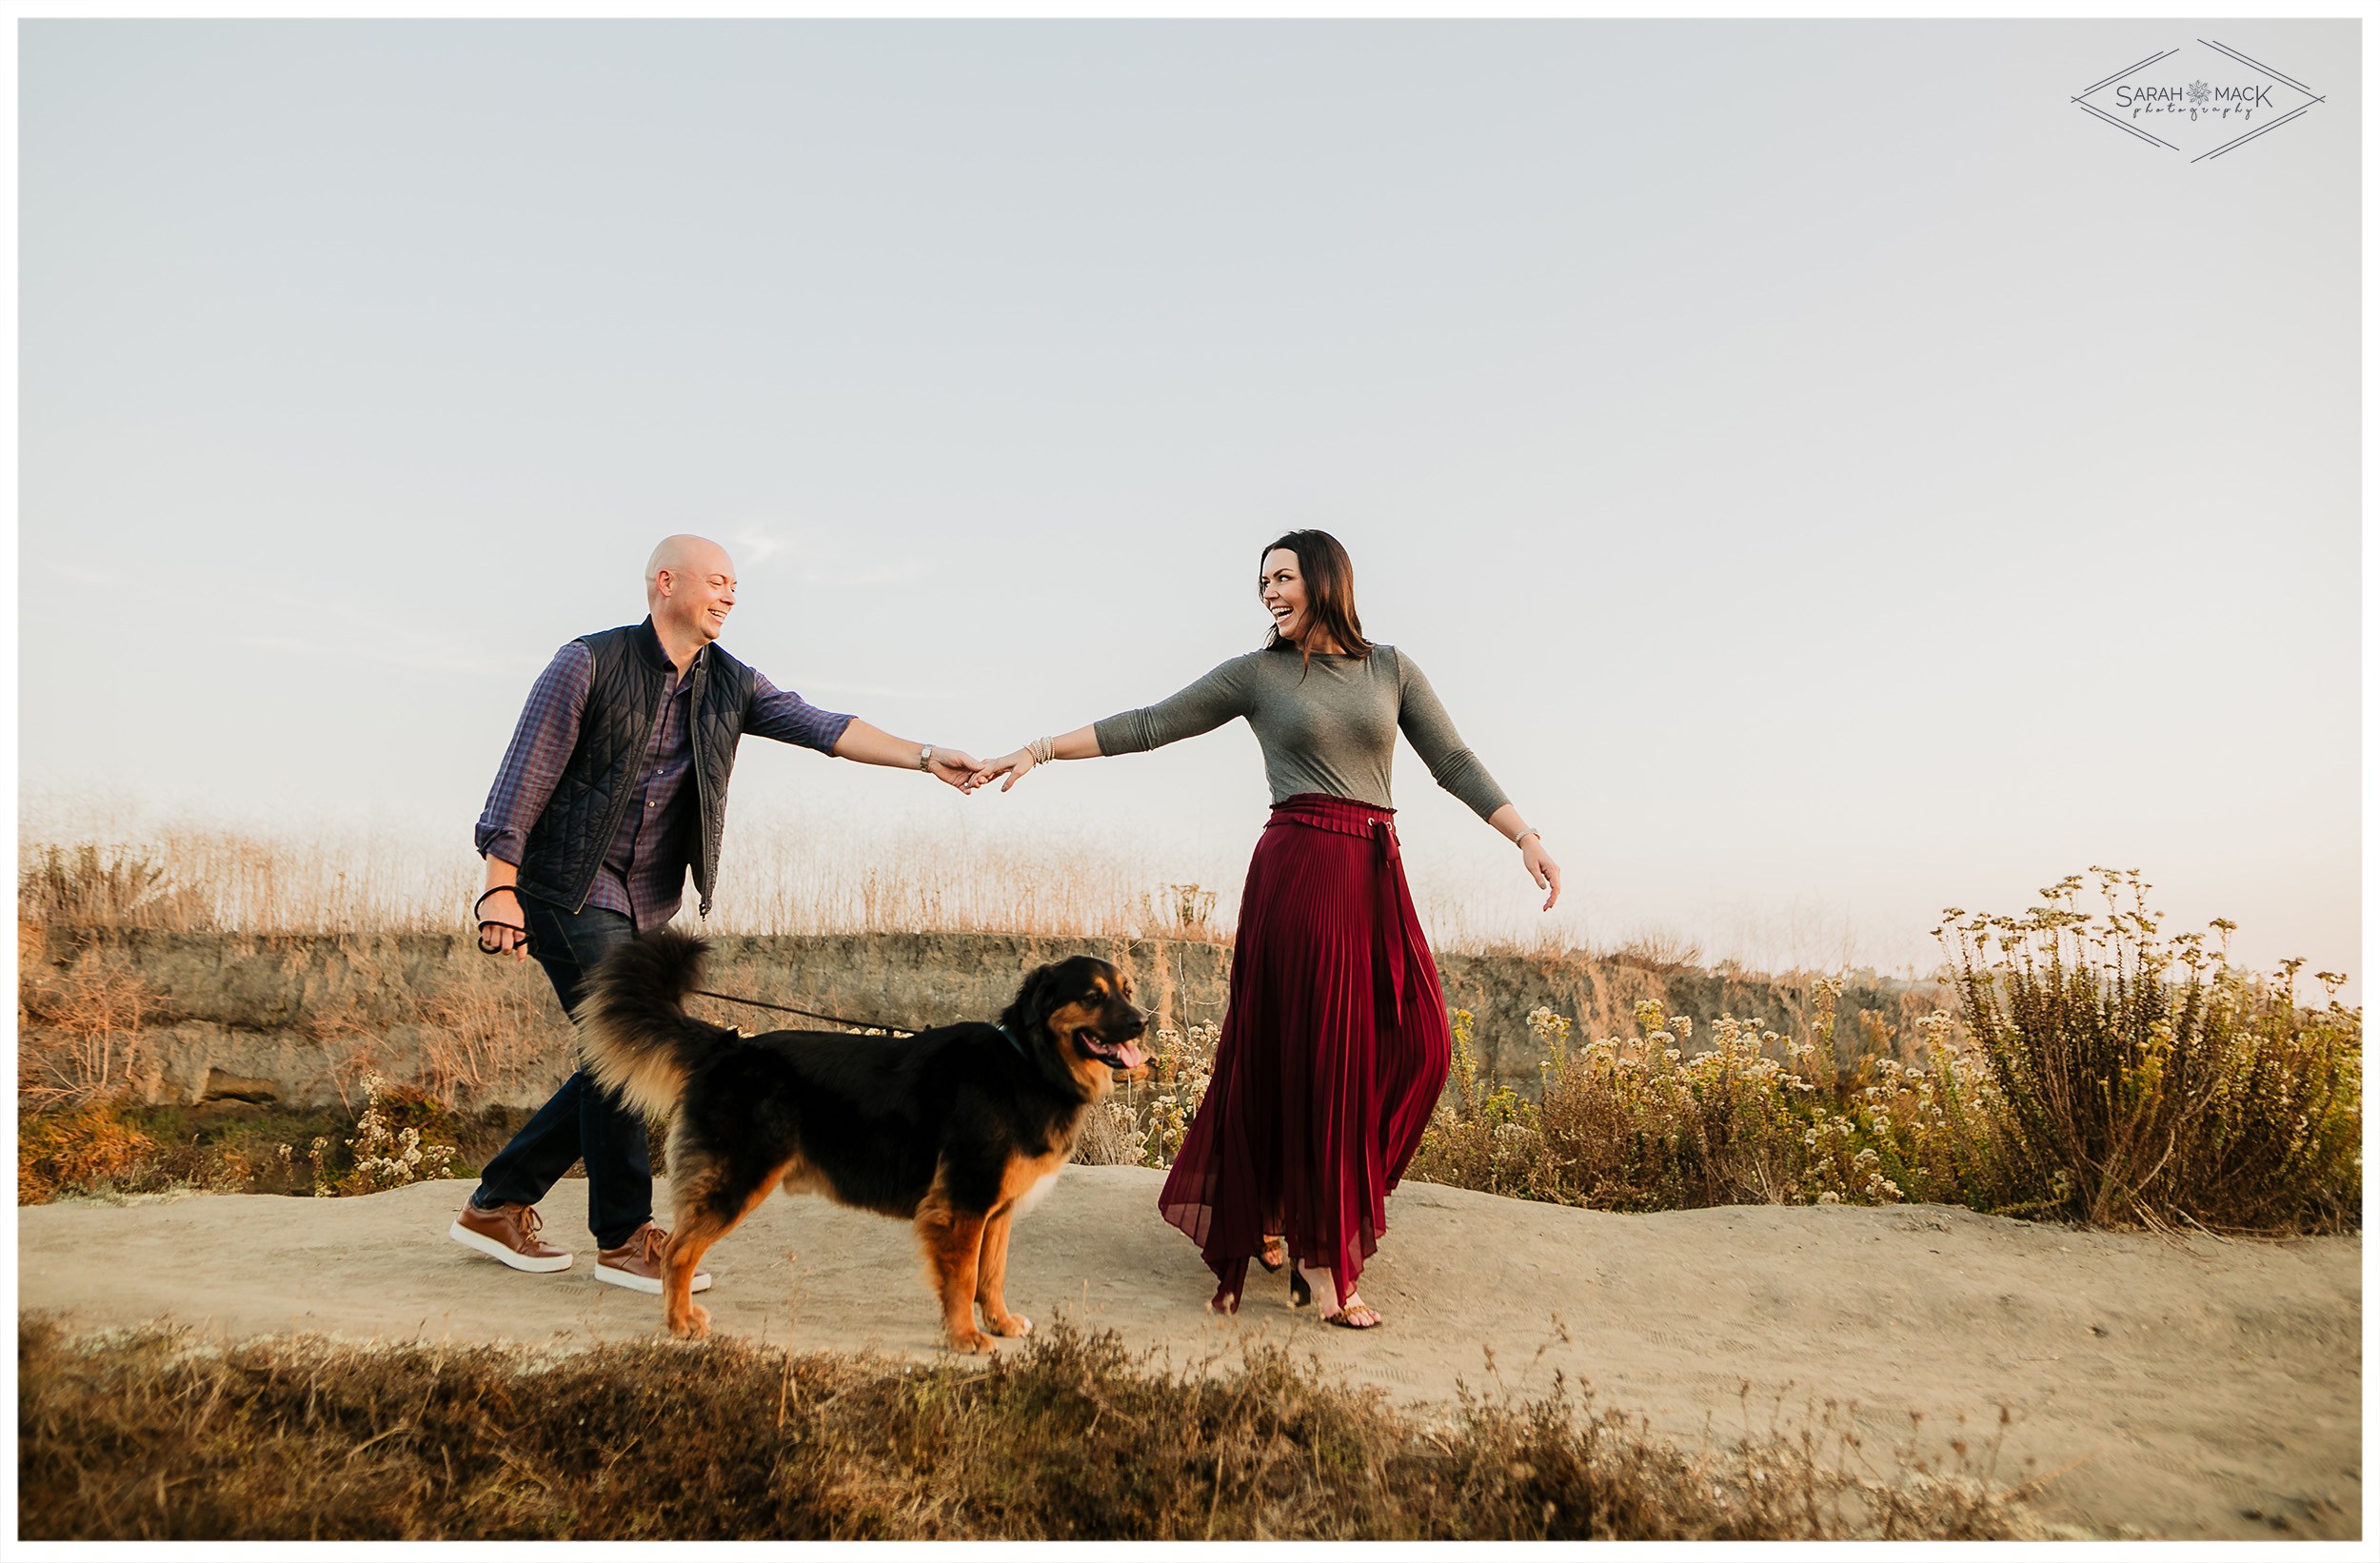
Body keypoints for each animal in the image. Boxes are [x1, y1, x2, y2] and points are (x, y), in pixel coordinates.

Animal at [566, 932, 1142, 1351]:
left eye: (1127, 990)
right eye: (1092, 996)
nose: (1142, 1022)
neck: (1029, 1062)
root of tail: (726, 1046)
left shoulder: (994, 1210)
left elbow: (991, 1275)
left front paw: (998, 1324)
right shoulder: (962, 1205)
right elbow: (961, 1281)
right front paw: (964, 1337)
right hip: (737, 1181)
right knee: (678, 1252)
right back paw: (680, 1323)